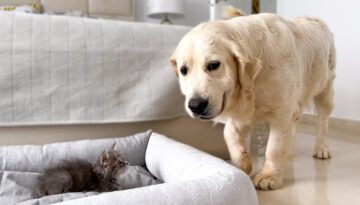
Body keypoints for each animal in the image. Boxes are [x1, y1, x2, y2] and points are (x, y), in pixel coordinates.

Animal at [170, 8, 336, 191]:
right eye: (183, 70)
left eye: (213, 65)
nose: (195, 105)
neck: (254, 77)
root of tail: (315, 19)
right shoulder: (245, 112)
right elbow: (229, 133)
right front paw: (242, 162)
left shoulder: (282, 112)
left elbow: (274, 148)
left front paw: (269, 176)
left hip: (325, 89)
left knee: (323, 121)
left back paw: (321, 148)